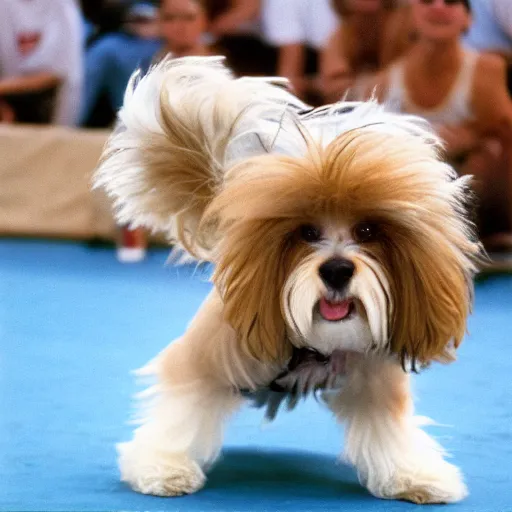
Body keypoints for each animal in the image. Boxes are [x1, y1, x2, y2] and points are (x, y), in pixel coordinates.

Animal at [95, 55, 484, 504]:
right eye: (306, 233)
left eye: (368, 230)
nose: (336, 269)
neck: (317, 346)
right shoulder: (208, 358)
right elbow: (182, 412)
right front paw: (164, 468)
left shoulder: (377, 378)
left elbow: (391, 429)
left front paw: (413, 476)